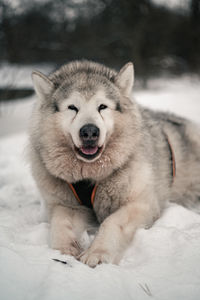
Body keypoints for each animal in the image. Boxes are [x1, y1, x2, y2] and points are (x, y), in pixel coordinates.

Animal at [29, 59, 200, 266]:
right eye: (72, 107)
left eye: (102, 107)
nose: (89, 132)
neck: (91, 176)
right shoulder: (67, 205)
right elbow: (60, 223)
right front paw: (63, 252)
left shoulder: (141, 204)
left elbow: (112, 222)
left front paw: (97, 252)